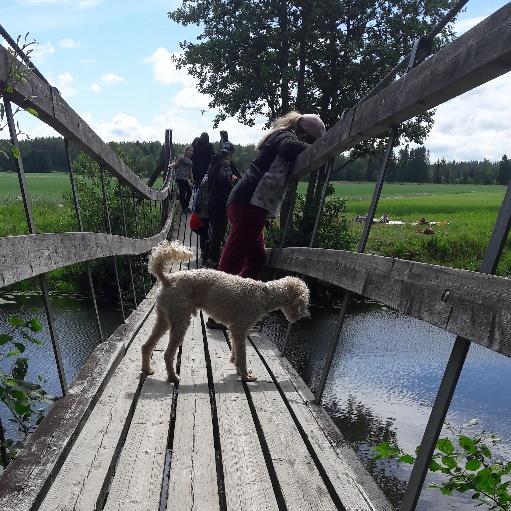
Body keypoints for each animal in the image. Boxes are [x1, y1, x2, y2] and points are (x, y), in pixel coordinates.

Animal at [140, 242, 310, 382]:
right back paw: (173, 377)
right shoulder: (240, 330)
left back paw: (147, 370)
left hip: (164, 320)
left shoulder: (235, 331)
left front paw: (235, 364)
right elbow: (242, 355)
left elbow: (236, 351)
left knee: (146, 346)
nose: (303, 315)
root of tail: (167, 279)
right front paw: (245, 375)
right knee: (168, 354)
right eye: (304, 300)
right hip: (180, 322)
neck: (265, 295)